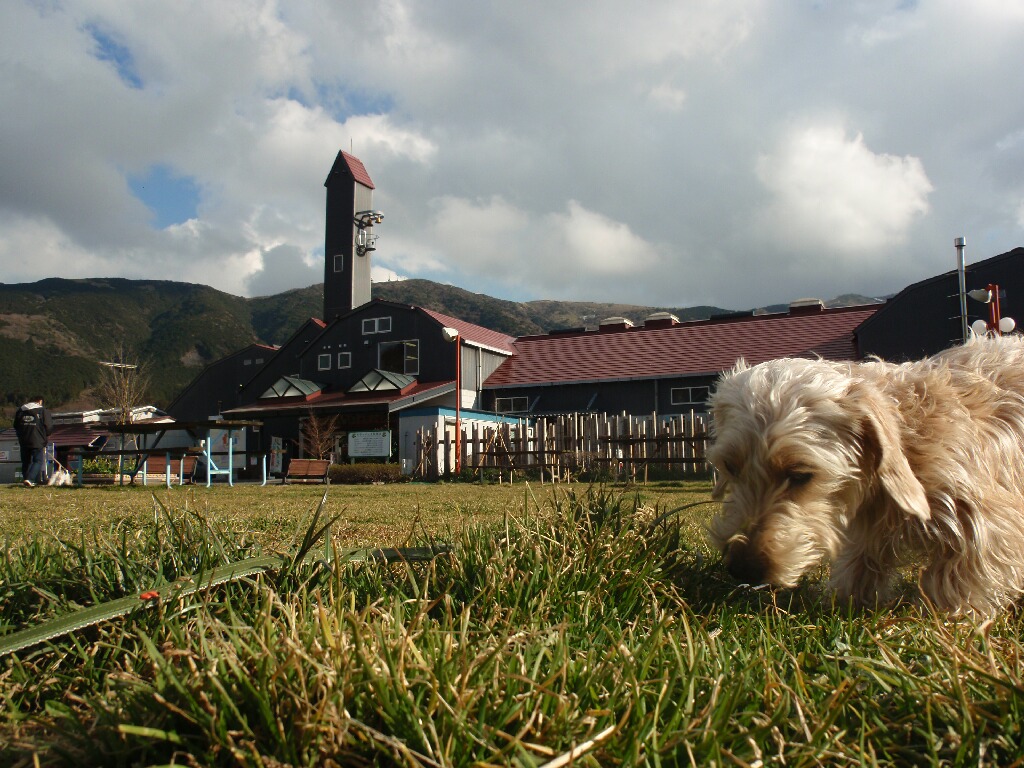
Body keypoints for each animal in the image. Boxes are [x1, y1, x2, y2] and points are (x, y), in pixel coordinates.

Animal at [708, 333, 1024, 618]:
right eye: (730, 466)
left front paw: (948, 618)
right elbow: (861, 564)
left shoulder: (984, 517)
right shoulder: (868, 528)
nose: (742, 568)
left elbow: (960, 570)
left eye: (800, 474)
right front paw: (846, 603)